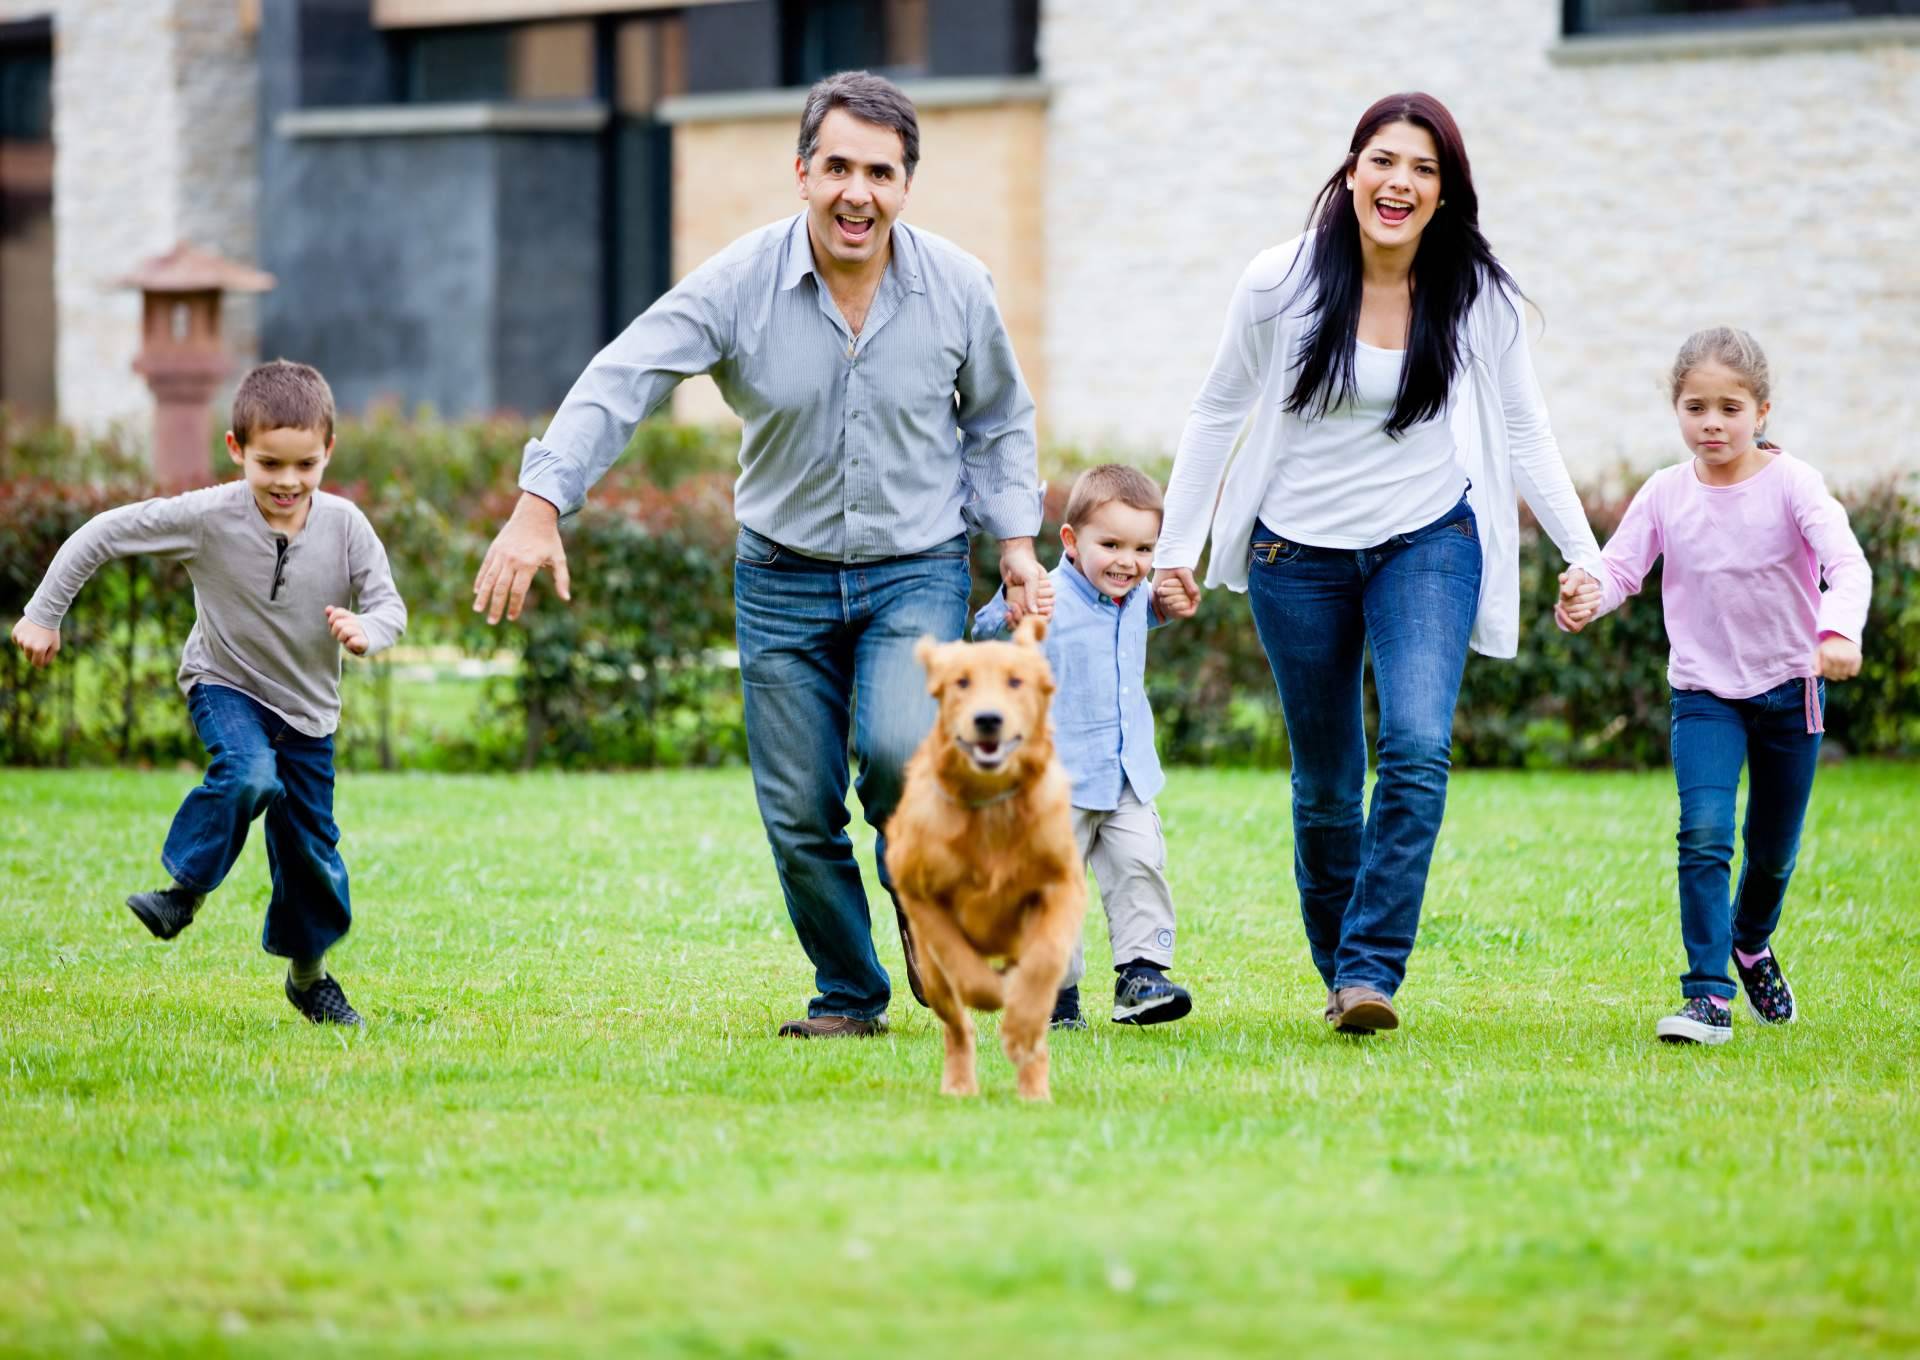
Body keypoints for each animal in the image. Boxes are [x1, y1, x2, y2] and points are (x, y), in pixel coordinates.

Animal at [879, 622, 1082, 1098]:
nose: (988, 719)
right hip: (932, 979)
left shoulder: (1063, 883)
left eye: (1016, 681)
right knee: (957, 1028)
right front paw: (992, 992)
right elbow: (961, 963)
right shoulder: (920, 893)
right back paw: (959, 1084)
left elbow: (1045, 960)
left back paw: (1034, 1090)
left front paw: (1021, 1023)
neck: (992, 805)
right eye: (962, 682)